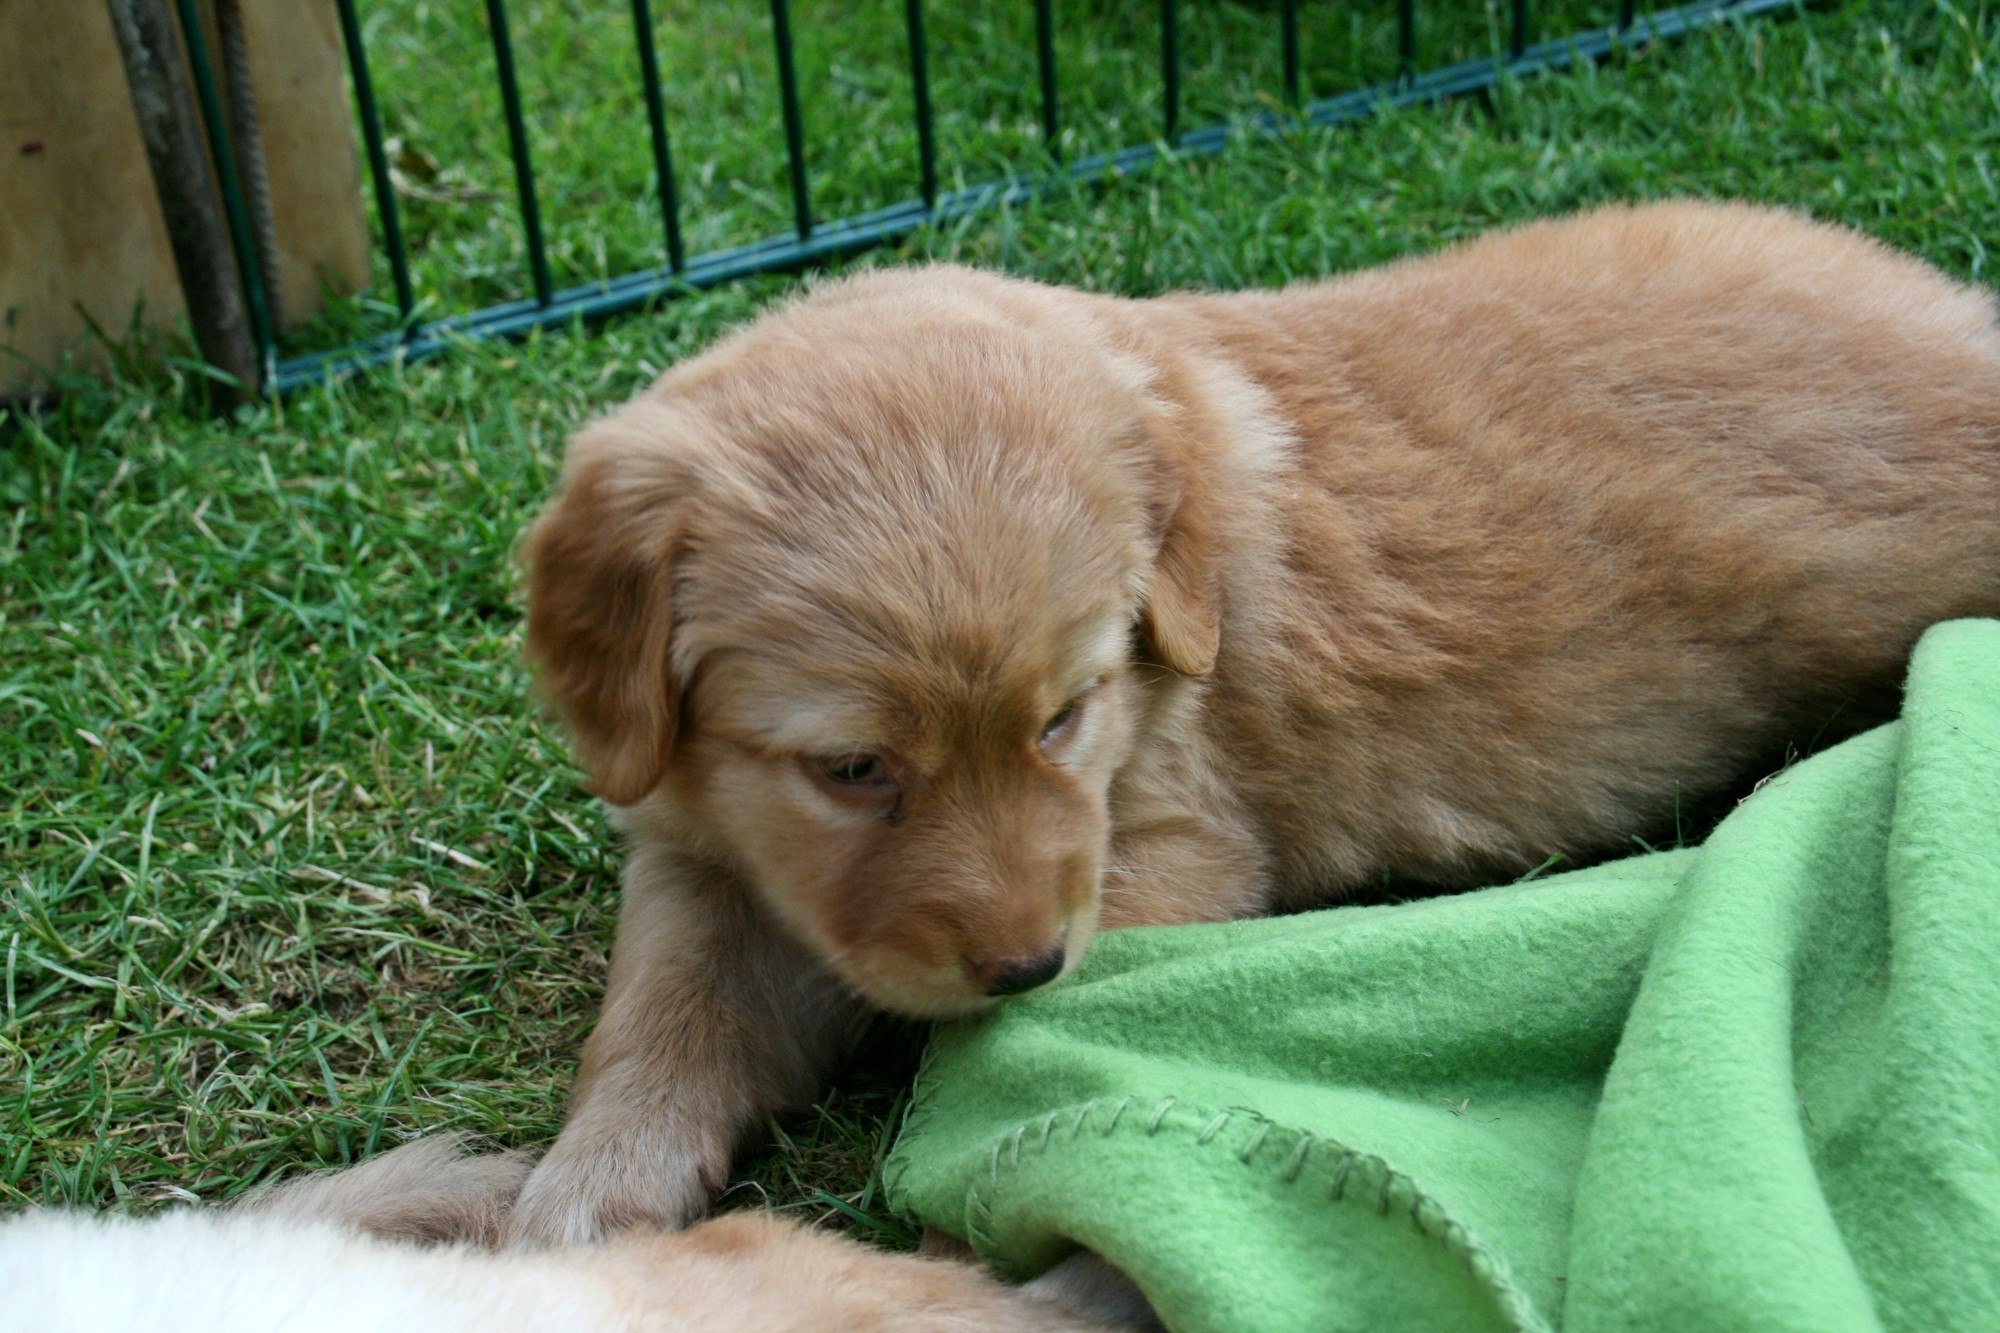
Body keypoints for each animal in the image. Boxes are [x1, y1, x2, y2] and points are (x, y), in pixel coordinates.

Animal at [507, 201, 2000, 1246]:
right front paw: (585, 1188)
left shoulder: (1168, 845)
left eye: (1065, 716)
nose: (1026, 964)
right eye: (853, 768)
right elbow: (665, 1008)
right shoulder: (694, 845)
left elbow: (992, 1058)